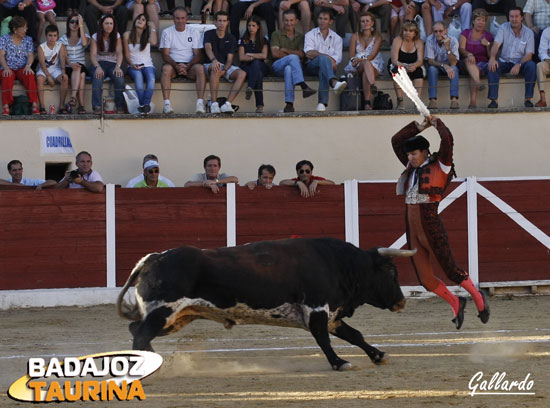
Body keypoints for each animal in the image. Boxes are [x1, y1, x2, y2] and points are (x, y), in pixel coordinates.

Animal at [117, 237, 418, 372]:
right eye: (391, 272)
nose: (402, 301)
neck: (340, 264)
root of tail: (153, 257)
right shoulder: (317, 311)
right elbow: (324, 340)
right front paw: (340, 363)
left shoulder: (331, 314)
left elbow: (354, 334)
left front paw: (378, 355)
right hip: (163, 312)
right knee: (140, 334)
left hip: (176, 318)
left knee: (136, 330)